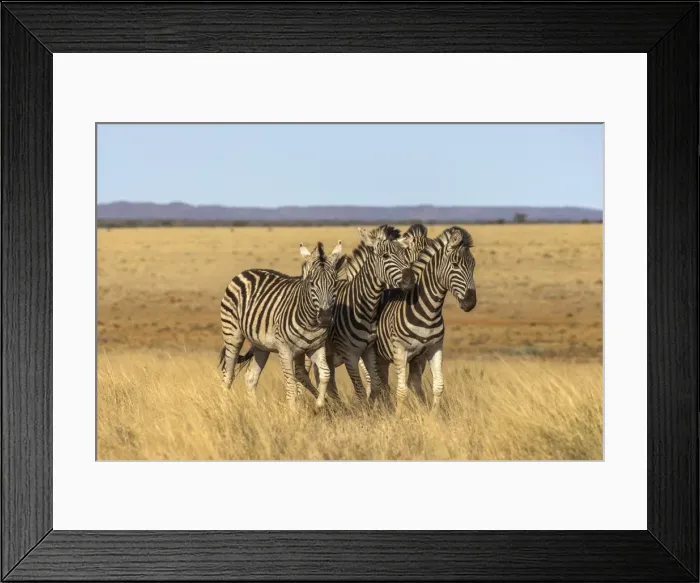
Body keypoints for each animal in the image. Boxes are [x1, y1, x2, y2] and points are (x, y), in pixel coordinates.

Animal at [218, 240, 343, 410]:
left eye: (335, 284)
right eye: (311, 284)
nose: (325, 318)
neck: (310, 322)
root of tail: (245, 272)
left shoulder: (316, 347)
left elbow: (325, 374)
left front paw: (319, 404)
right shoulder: (285, 350)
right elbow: (291, 385)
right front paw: (293, 413)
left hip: (261, 346)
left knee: (251, 377)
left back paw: (255, 410)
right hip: (232, 334)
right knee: (228, 374)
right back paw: (224, 408)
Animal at [304, 225, 416, 403]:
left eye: (405, 257)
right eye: (385, 256)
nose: (410, 280)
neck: (364, 308)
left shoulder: (368, 350)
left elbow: (376, 385)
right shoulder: (350, 354)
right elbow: (361, 390)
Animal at [365, 226, 477, 411]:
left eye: (474, 265)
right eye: (455, 265)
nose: (470, 303)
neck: (429, 312)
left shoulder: (434, 349)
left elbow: (438, 386)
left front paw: (432, 416)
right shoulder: (400, 350)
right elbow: (401, 391)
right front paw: (398, 417)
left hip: (390, 358)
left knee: (388, 383)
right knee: (372, 383)